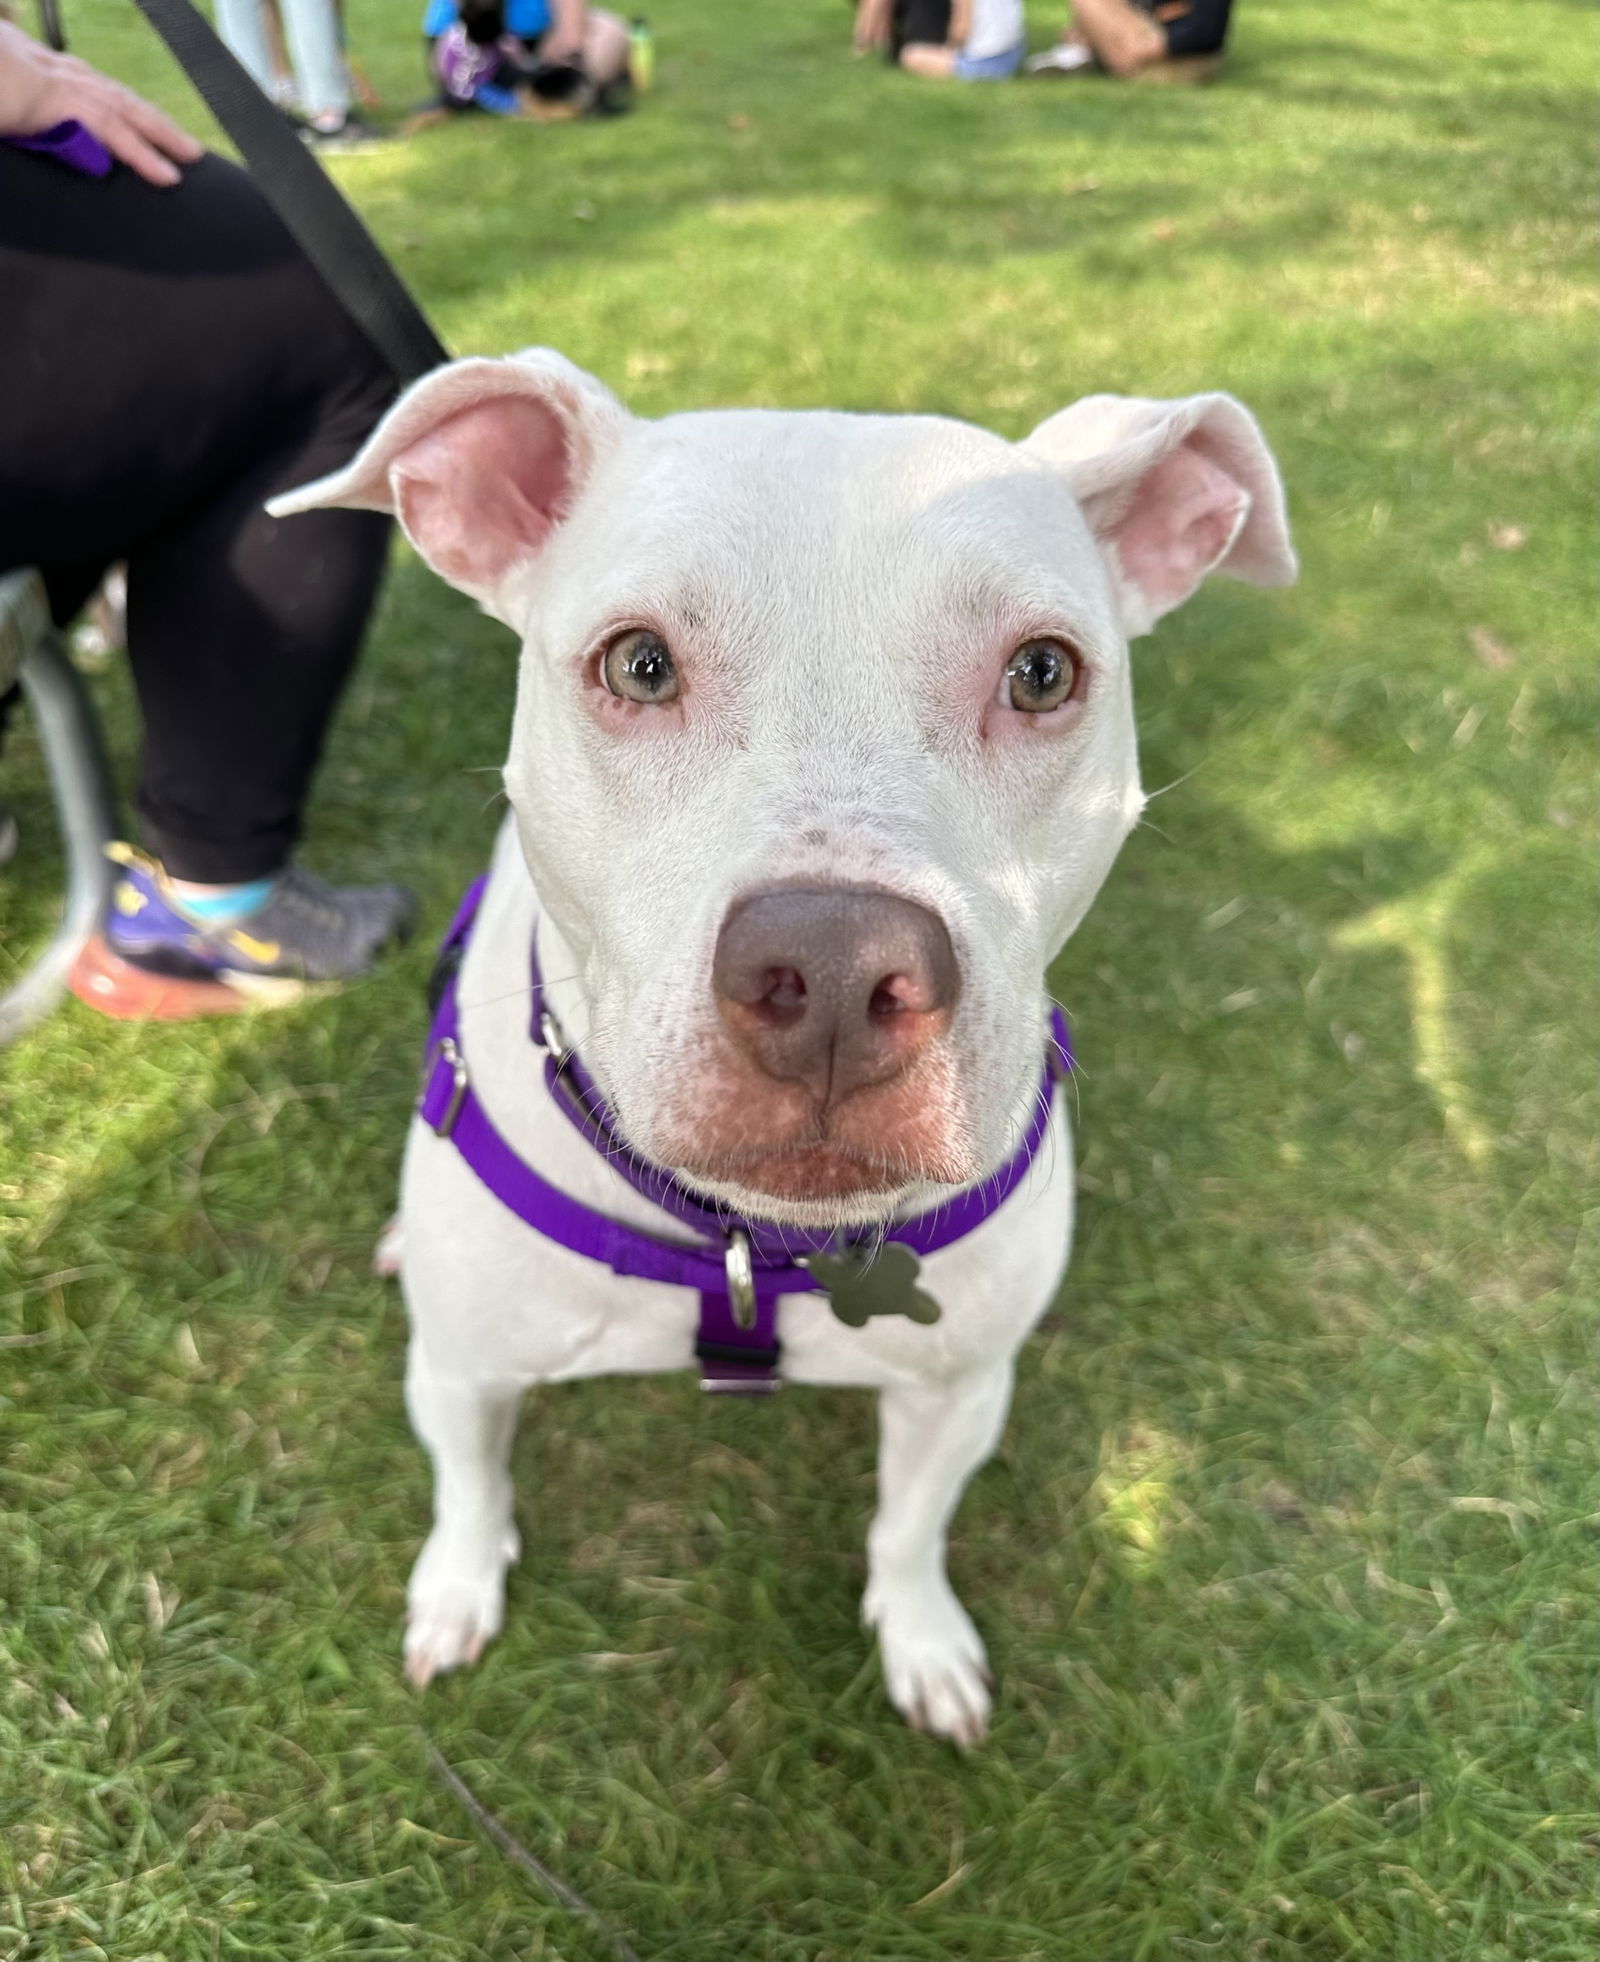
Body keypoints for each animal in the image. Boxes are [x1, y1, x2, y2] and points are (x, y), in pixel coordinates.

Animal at [272, 345, 1303, 1742]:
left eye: (1042, 673)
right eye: (638, 664)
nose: (832, 974)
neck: (747, 1246)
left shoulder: (957, 1390)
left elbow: (909, 1530)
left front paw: (922, 1640)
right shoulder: (463, 1372)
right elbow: (469, 1488)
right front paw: (455, 1590)